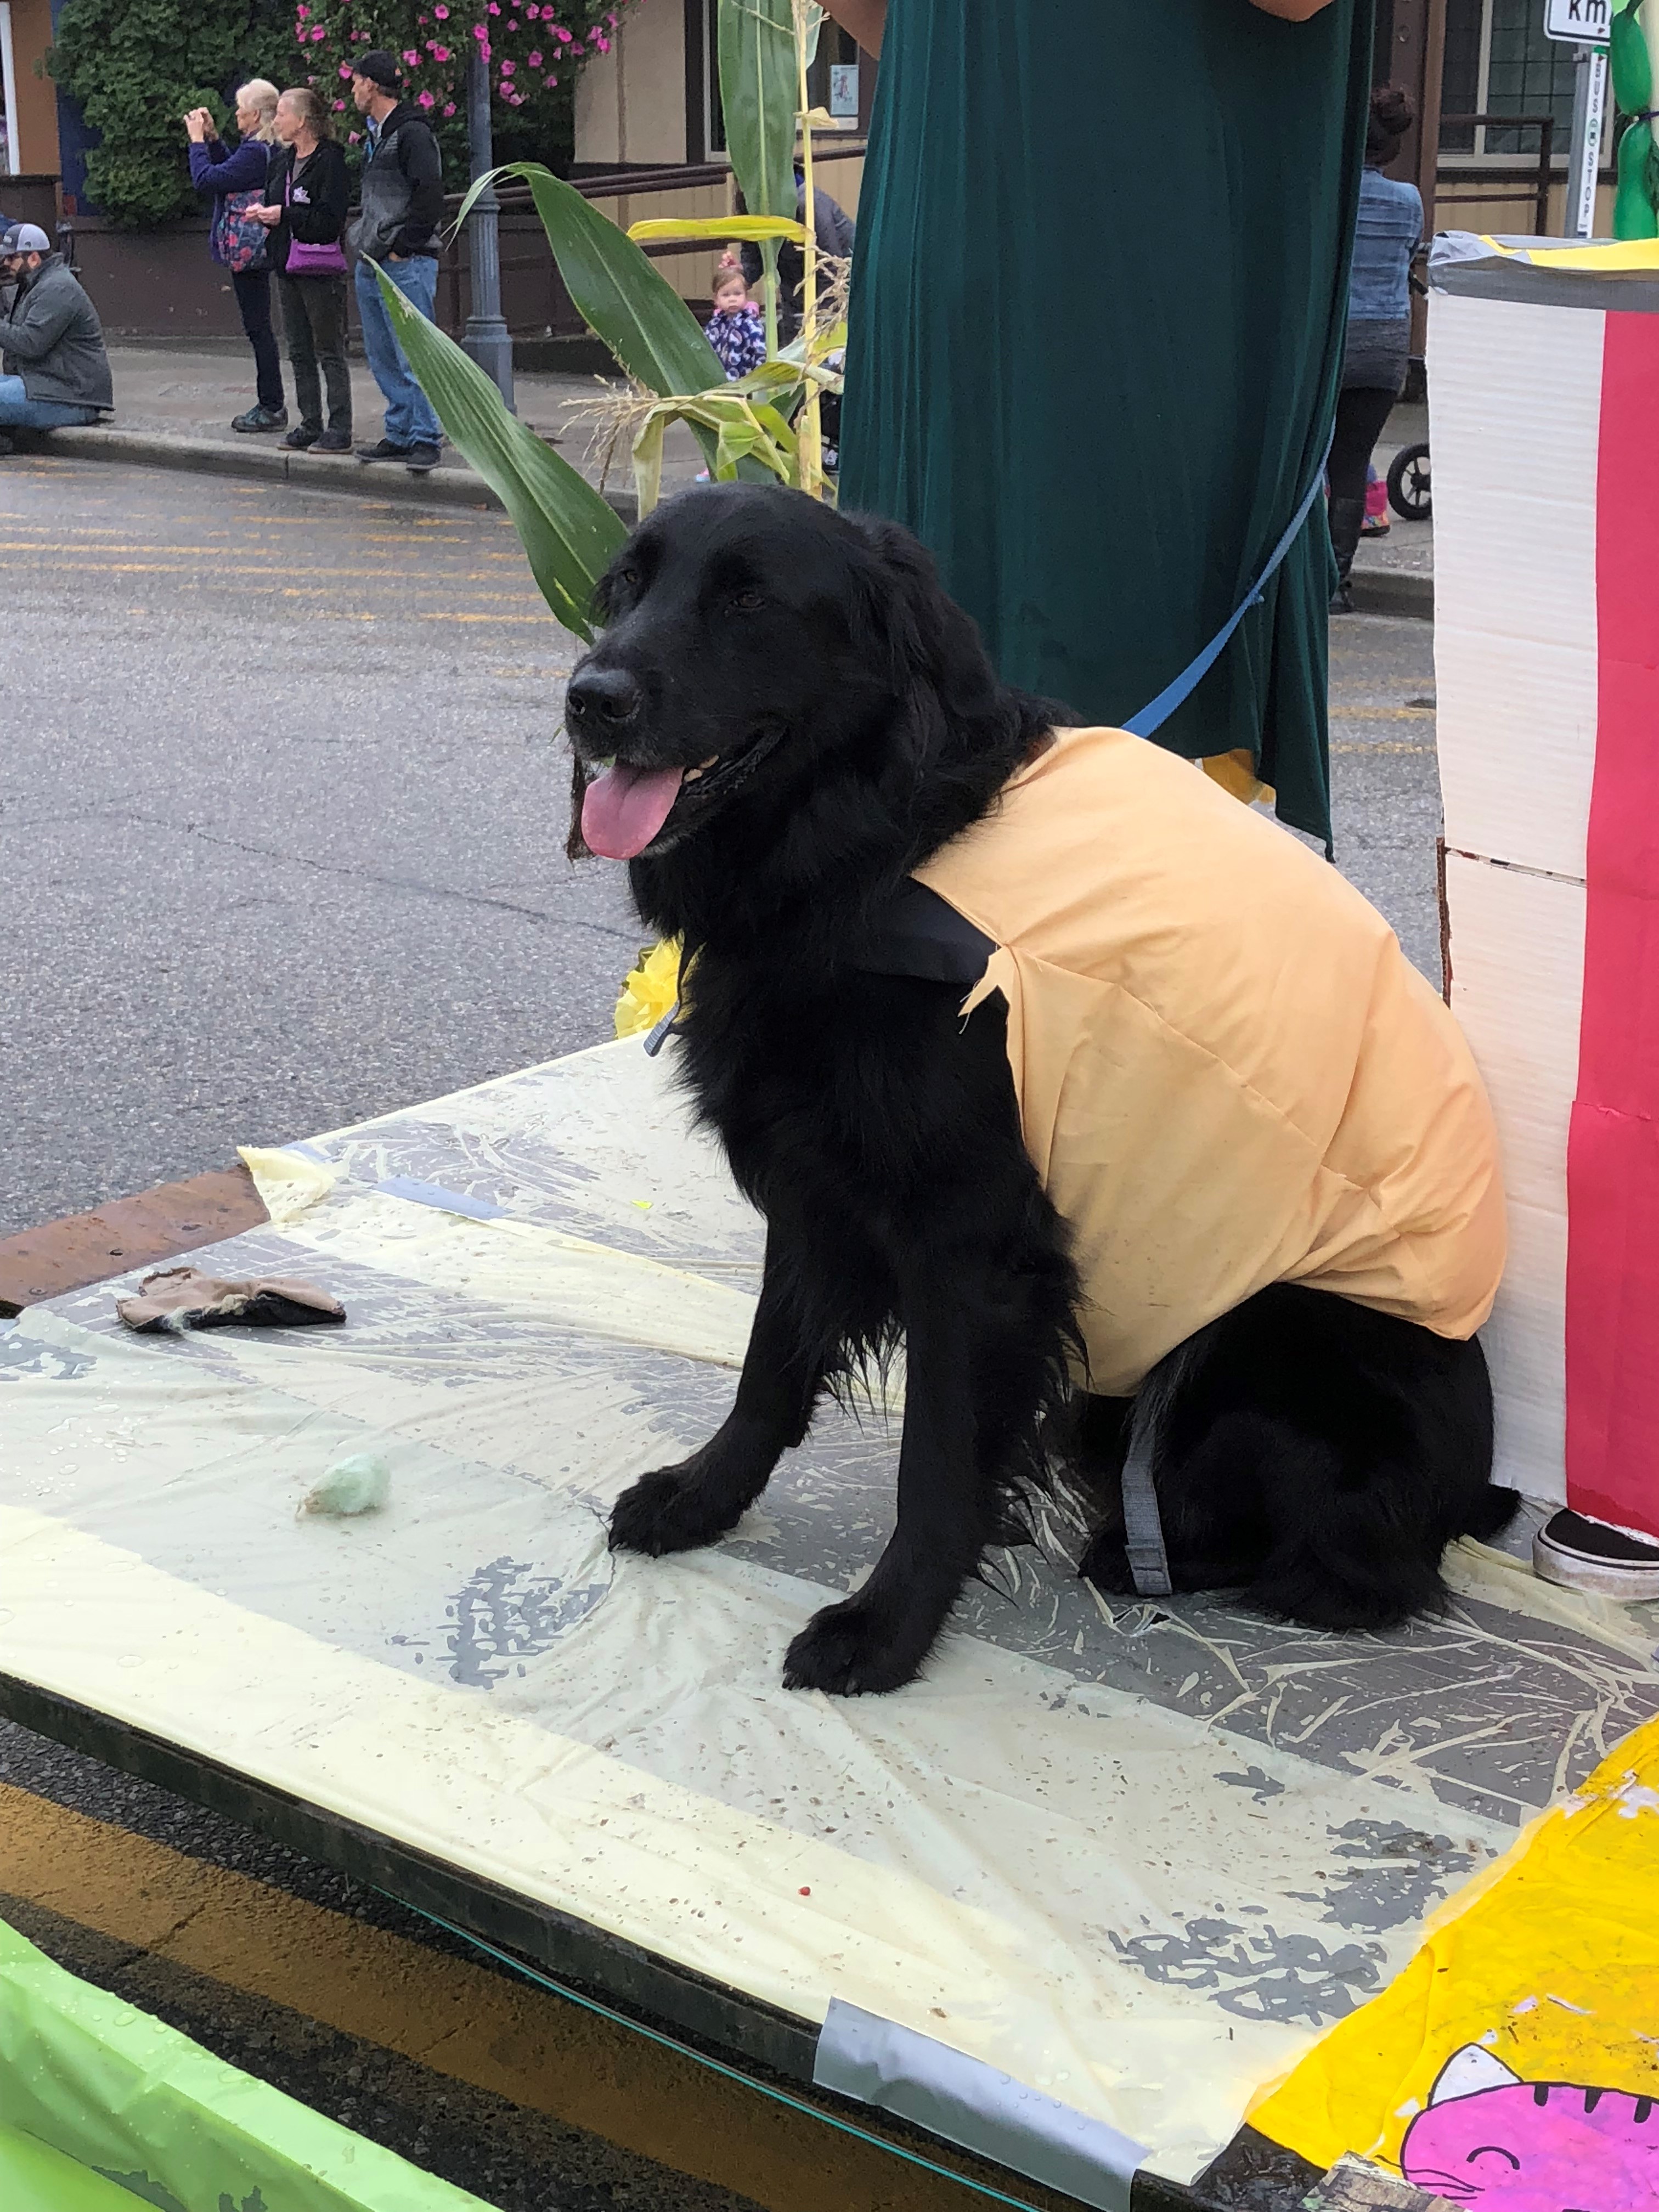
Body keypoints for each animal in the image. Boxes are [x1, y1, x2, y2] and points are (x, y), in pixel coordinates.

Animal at [566, 484, 1513, 1690]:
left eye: (749, 599)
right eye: (629, 585)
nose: (589, 700)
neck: (889, 838)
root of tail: (1473, 1489)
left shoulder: (969, 1246)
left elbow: (934, 1464)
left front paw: (884, 1628)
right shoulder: (816, 1183)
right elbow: (767, 1372)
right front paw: (701, 1499)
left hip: (1255, 1345)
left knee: (1358, 1578)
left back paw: (1145, 1553)